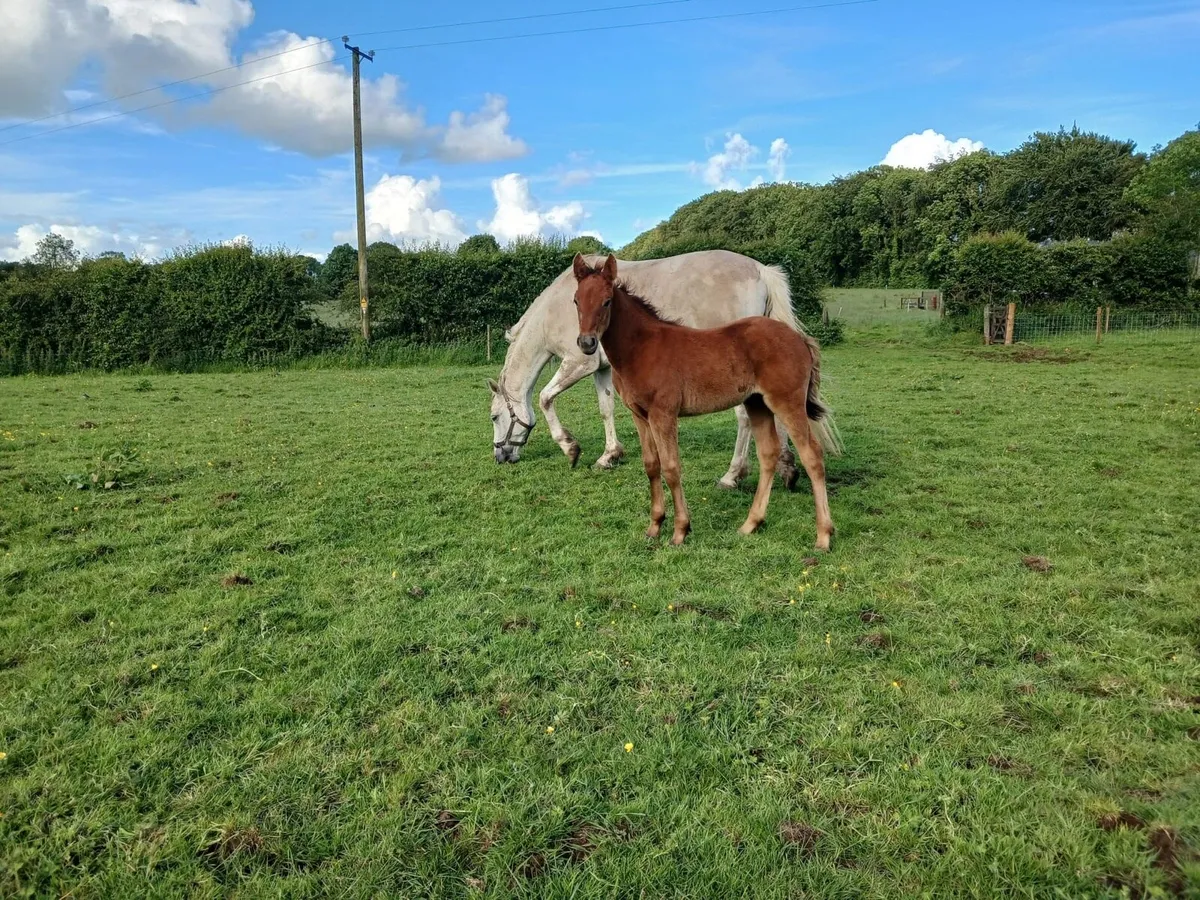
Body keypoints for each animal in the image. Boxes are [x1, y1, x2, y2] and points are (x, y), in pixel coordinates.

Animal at [487, 249, 808, 491]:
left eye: (494, 417)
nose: (500, 456)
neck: (555, 311)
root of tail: (760, 270)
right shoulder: (601, 369)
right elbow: (606, 409)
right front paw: (609, 456)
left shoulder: (578, 363)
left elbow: (544, 397)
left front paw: (570, 448)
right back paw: (787, 467)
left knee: (744, 418)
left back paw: (732, 476)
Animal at [572, 253, 840, 550]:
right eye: (576, 300)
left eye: (607, 301)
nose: (586, 343)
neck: (641, 348)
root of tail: (800, 339)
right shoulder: (639, 415)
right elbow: (652, 466)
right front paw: (654, 527)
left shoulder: (663, 414)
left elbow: (671, 467)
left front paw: (680, 531)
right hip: (757, 404)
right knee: (768, 454)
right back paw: (750, 524)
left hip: (787, 402)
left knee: (812, 456)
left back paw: (823, 536)